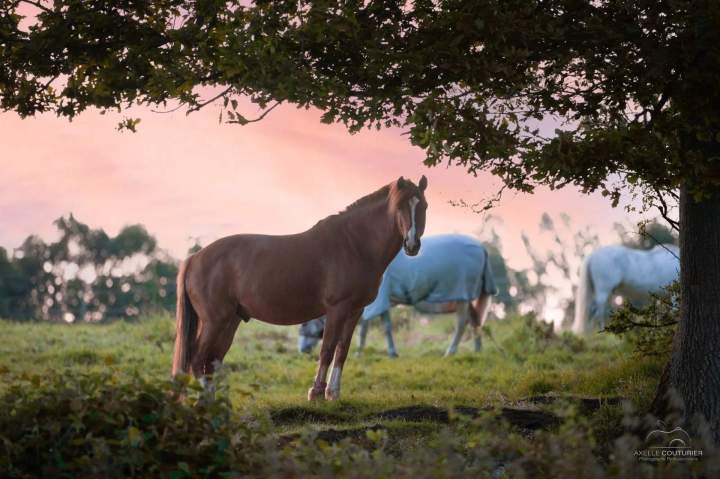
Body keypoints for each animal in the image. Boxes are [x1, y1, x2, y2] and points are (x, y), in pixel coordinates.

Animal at [172, 176, 428, 401]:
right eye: (400, 206)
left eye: (423, 206)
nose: (412, 244)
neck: (354, 244)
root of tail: (194, 258)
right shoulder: (337, 309)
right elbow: (327, 349)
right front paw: (316, 393)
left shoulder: (355, 311)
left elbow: (342, 350)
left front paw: (333, 393)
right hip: (215, 321)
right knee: (197, 358)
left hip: (230, 321)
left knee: (212, 360)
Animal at [298, 234, 498, 356]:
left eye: (306, 323)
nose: (302, 350)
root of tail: (481, 248)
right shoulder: (383, 299)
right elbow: (386, 326)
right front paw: (392, 352)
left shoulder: (374, 300)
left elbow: (364, 327)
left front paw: (359, 351)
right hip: (467, 296)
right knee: (474, 320)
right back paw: (478, 349)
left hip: (461, 293)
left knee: (462, 322)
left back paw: (451, 351)